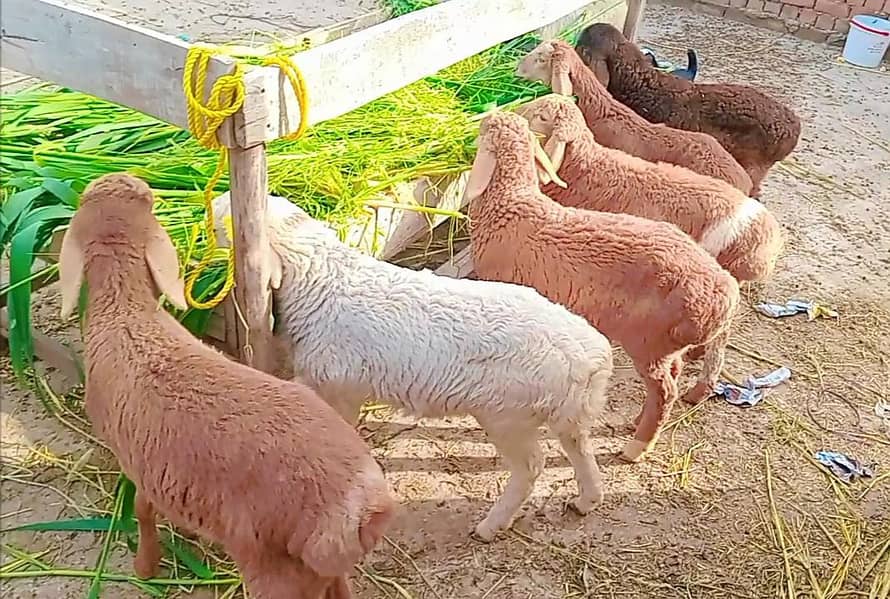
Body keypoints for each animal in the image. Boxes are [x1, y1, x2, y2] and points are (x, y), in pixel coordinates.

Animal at [57, 173, 395, 599]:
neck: (127, 313)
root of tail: (365, 507)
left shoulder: (134, 460)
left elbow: (143, 510)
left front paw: (145, 567)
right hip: (317, 564)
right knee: (339, 585)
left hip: (272, 563)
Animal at [211, 191, 614, 542]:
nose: (210, 205)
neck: (322, 281)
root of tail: (592, 355)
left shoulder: (336, 384)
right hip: (566, 413)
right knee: (580, 448)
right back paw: (586, 500)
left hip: (508, 415)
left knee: (531, 466)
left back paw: (490, 526)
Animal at [464, 110, 740, 463]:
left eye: (485, 132)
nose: (487, 115)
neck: (510, 202)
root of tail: (724, 293)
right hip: (666, 346)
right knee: (674, 373)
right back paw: (637, 424)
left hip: (648, 343)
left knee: (665, 392)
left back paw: (636, 448)